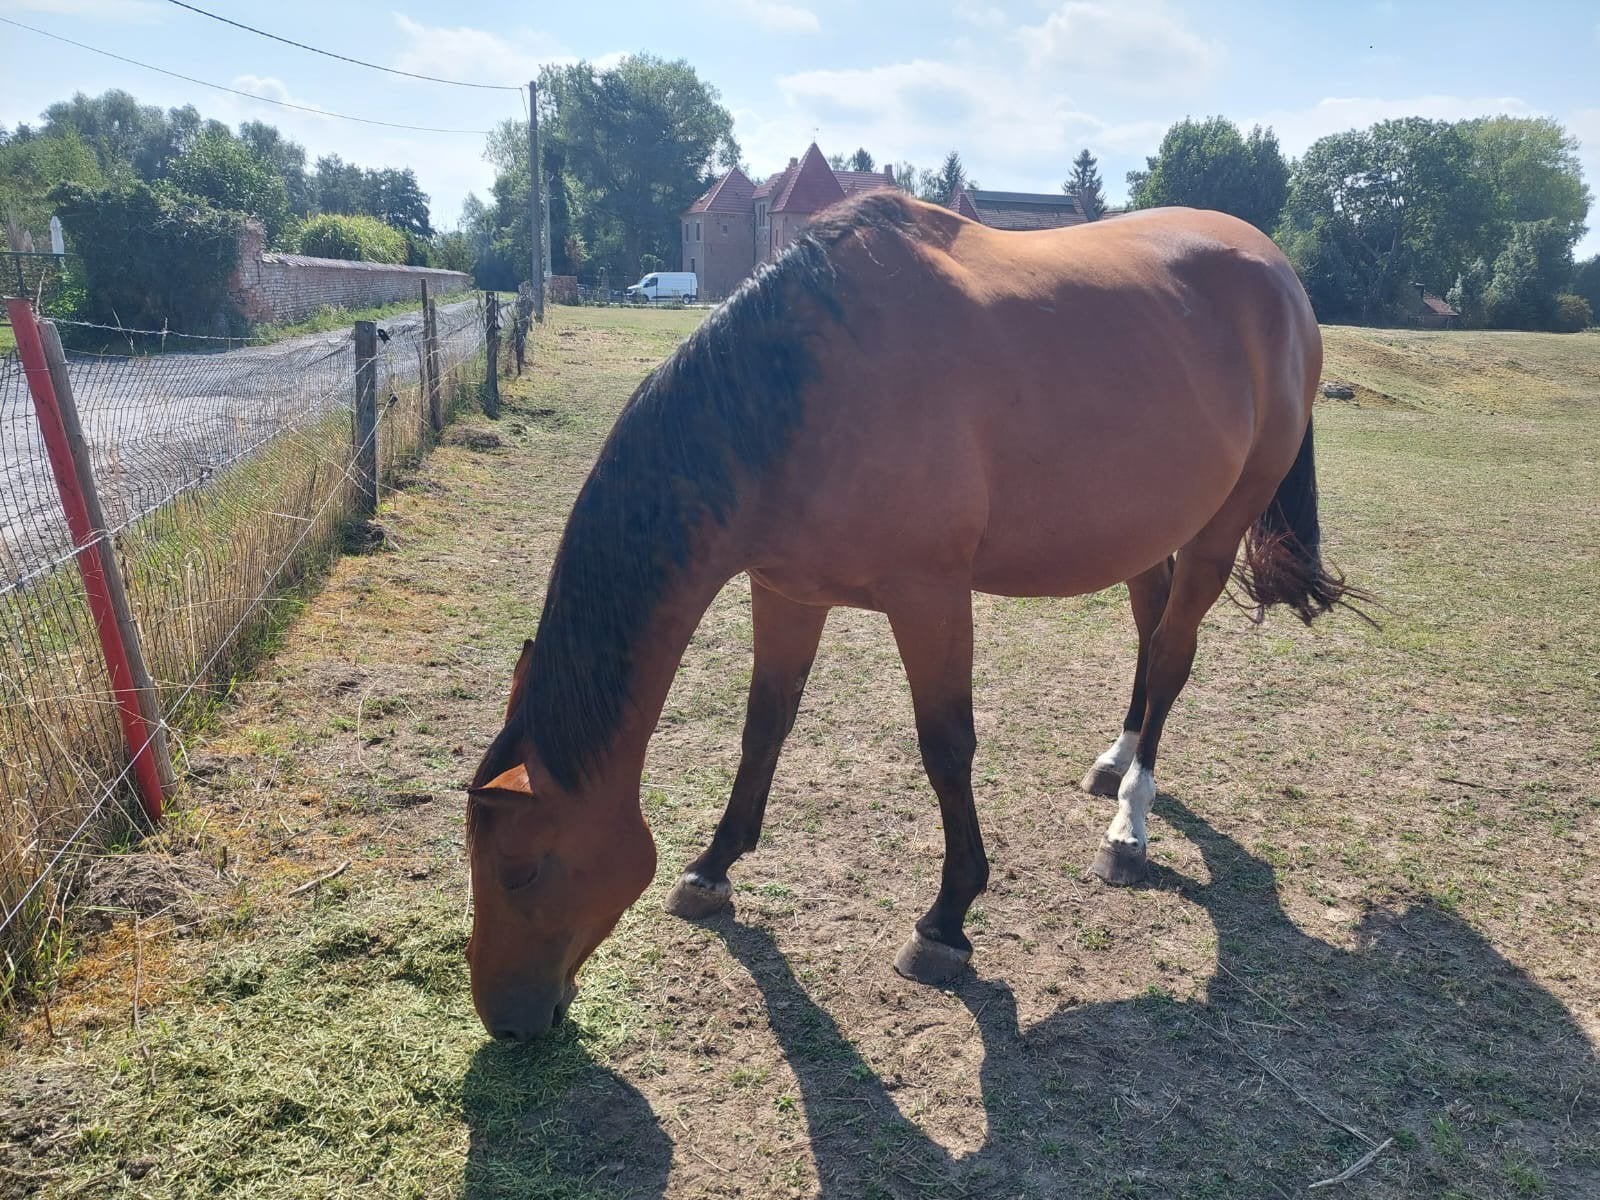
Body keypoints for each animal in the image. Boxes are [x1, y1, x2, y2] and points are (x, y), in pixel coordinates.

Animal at [465, 191, 1365, 1041]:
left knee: (1174, 653)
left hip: (1218, 531)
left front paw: (947, 922)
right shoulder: (785, 591)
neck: (803, 388)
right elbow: (766, 725)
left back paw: (1128, 826)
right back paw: (1115, 761)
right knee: (1150, 636)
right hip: (1149, 530)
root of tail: (1280, 275)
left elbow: (946, 748)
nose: (508, 1022)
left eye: (523, 870)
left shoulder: (929, 596)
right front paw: (713, 868)